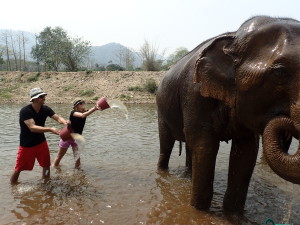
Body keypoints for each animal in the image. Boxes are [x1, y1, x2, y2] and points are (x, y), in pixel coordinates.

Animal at [156, 15, 300, 213]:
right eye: (280, 72)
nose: (286, 121)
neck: (234, 38)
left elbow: (246, 151)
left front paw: (233, 215)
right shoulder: (194, 93)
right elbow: (205, 145)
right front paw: (198, 211)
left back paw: (188, 176)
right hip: (161, 108)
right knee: (167, 144)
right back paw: (163, 173)